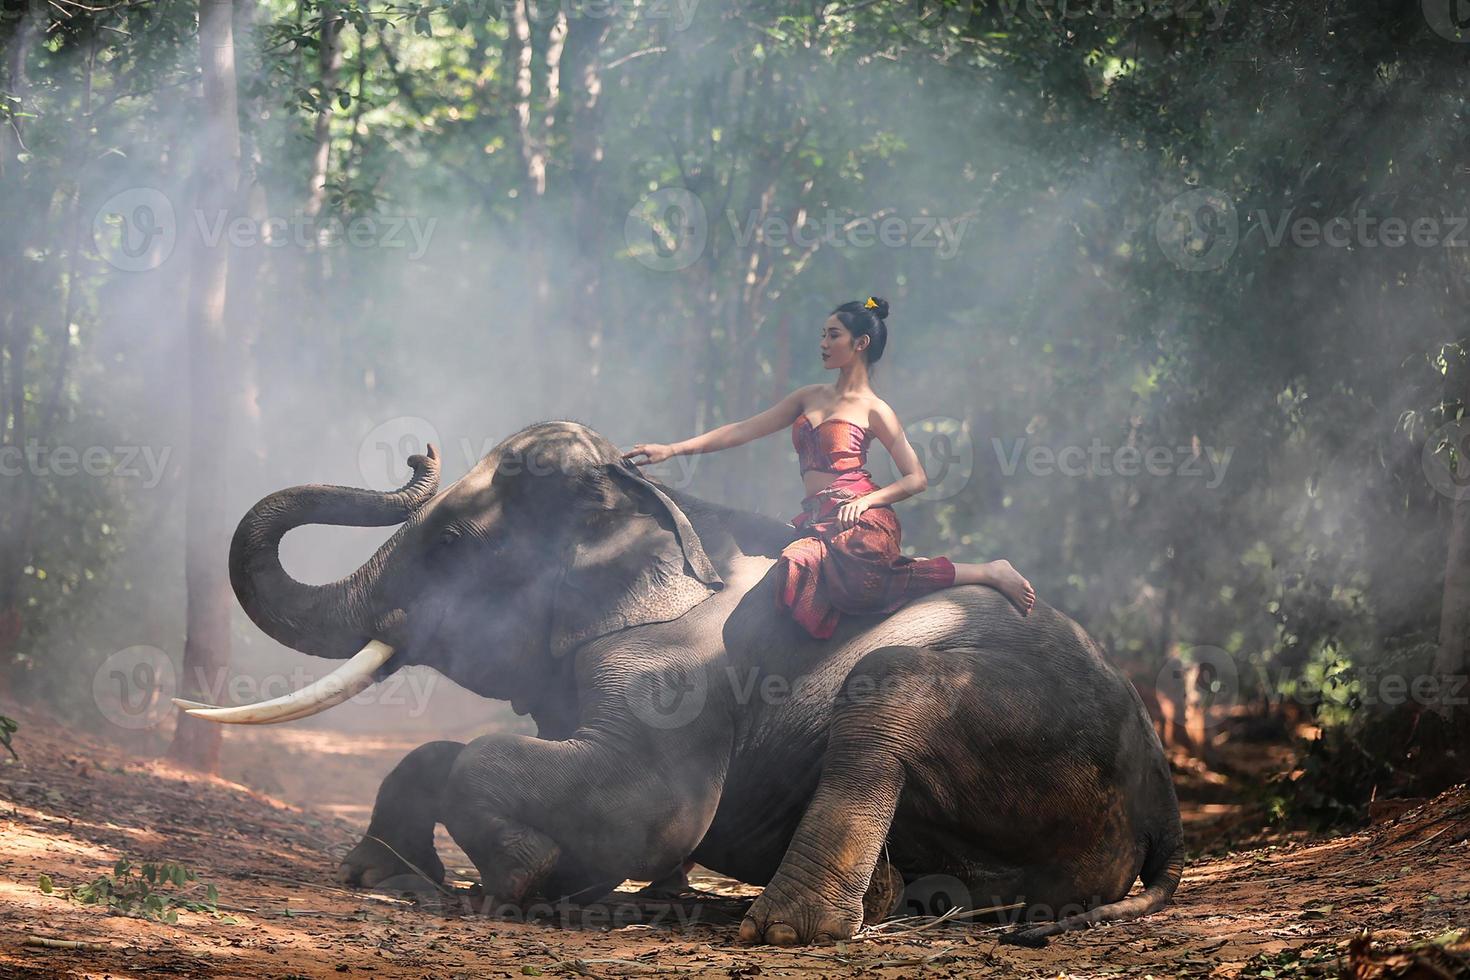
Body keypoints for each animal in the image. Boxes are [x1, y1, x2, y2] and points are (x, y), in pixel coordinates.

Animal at [180, 417, 1181, 946]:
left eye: (454, 543)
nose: (417, 453)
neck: (661, 510)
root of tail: (1161, 794)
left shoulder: (678, 668)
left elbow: (646, 803)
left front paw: (524, 881)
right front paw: (386, 877)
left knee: (889, 686)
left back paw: (787, 928)